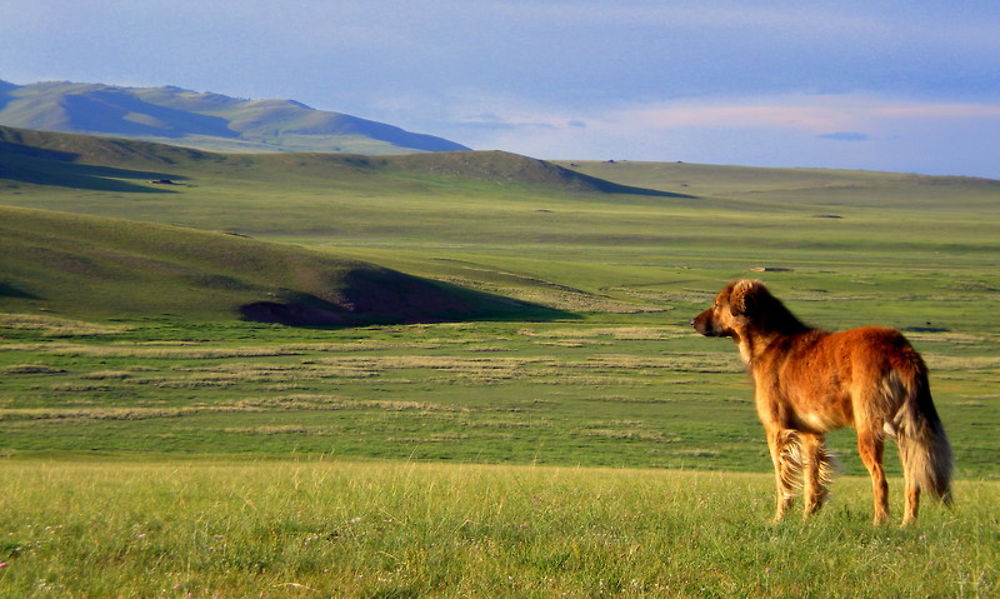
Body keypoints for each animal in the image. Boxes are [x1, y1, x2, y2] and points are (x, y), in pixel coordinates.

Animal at [692, 282, 948, 524]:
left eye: (716, 304)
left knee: (881, 479)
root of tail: (899, 348)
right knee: (913, 481)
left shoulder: (777, 430)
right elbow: (812, 480)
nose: (692, 322)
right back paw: (907, 523)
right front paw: (808, 518)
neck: (770, 340)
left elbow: (783, 481)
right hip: (906, 431)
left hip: (869, 430)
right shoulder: (811, 433)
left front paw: (779, 518)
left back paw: (880, 522)